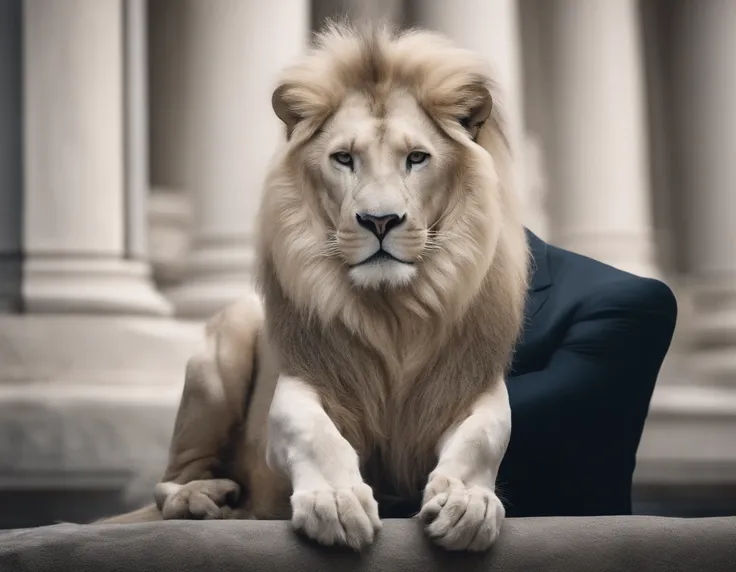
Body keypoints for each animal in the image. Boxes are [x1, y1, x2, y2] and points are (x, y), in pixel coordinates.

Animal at [100, 22, 532, 556]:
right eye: (344, 158)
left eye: (417, 158)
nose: (380, 221)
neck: (392, 314)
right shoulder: (301, 382)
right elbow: (313, 432)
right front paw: (337, 502)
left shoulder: (473, 381)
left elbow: (486, 433)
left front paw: (466, 504)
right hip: (220, 353)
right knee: (170, 479)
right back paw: (204, 500)